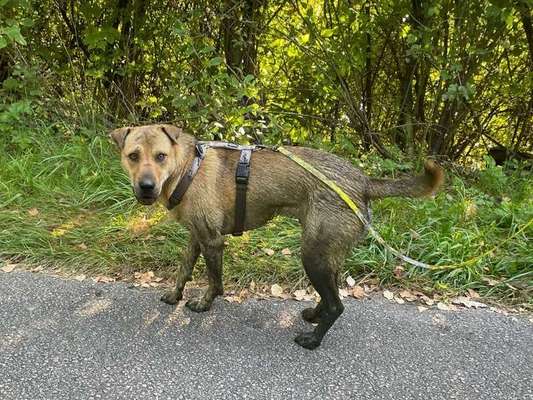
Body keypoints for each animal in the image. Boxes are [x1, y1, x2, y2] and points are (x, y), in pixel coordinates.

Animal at [110, 123, 442, 348]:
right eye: (133, 156)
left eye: (161, 156)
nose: (146, 187)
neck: (186, 168)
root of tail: (362, 181)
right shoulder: (198, 236)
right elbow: (184, 269)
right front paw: (175, 295)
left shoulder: (212, 241)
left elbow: (214, 280)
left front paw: (205, 304)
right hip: (327, 253)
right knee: (331, 294)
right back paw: (315, 314)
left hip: (313, 255)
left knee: (337, 304)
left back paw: (313, 339)